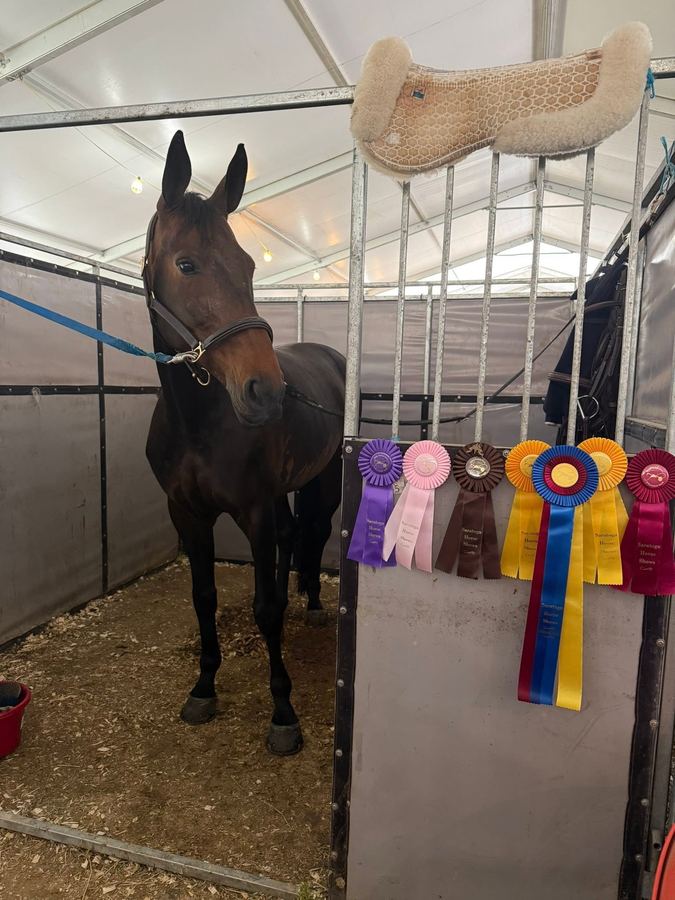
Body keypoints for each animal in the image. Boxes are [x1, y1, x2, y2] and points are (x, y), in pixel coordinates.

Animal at [144, 130, 345, 756]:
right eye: (186, 264)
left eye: (249, 264)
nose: (266, 391)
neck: (199, 425)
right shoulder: (186, 513)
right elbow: (204, 597)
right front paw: (203, 687)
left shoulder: (252, 510)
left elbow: (265, 609)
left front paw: (283, 713)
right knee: (291, 536)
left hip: (323, 481)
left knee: (311, 532)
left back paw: (311, 604)